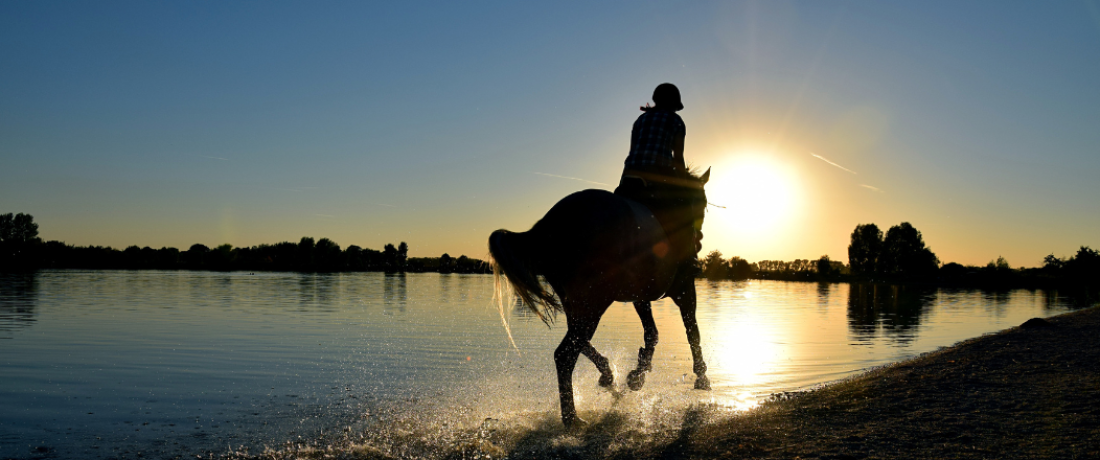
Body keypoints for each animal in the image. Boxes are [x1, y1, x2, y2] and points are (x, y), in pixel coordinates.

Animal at [490, 168, 712, 426]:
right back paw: (572, 418)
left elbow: (652, 333)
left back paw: (606, 376)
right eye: (702, 203)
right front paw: (701, 377)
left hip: (578, 302)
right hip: (595, 301)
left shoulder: (640, 296)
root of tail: (546, 227)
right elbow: (691, 331)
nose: (698, 241)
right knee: (565, 354)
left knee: (577, 340)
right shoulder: (684, 289)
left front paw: (637, 375)